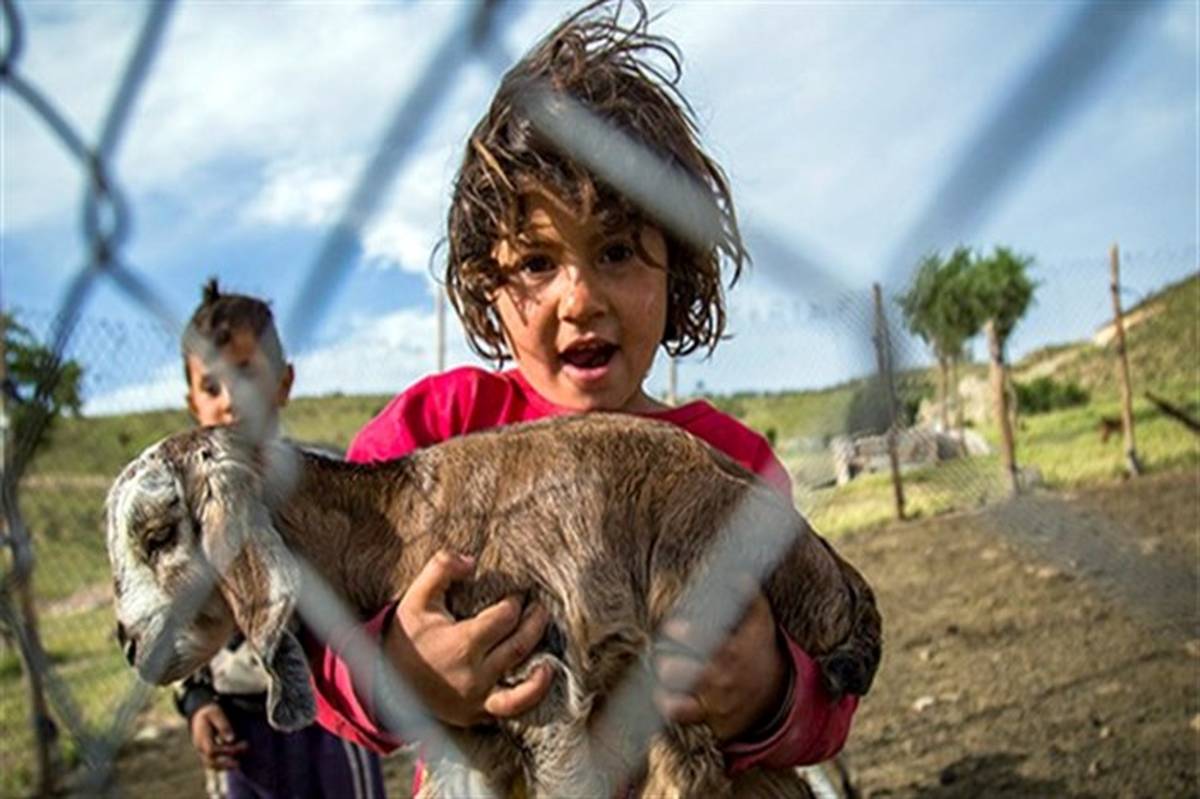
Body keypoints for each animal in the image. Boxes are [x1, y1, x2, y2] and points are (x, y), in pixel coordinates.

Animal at [106, 413, 880, 798]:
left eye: (158, 534)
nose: (129, 644)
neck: (392, 527)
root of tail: (843, 584)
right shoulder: (471, 739)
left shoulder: (546, 691)